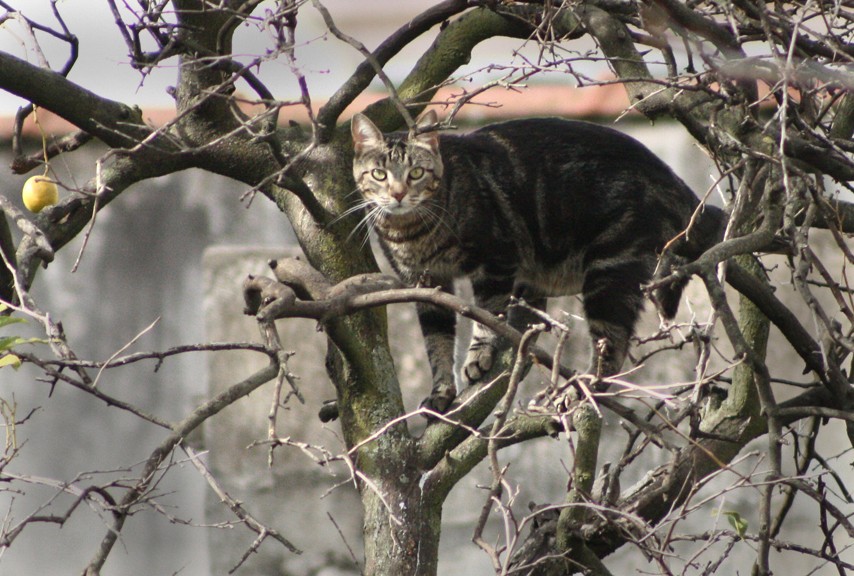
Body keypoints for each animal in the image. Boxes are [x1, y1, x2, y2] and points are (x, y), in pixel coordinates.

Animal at [352, 109, 724, 414]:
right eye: (379, 175)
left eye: (415, 172)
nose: (398, 194)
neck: (411, 232)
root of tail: (670, 177)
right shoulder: (426, 286)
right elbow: (437, 343)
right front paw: (441, 391)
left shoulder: (496, 261)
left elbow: (487, 316)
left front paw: (478, 356)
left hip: (608, 272)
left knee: (612, 350)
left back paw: (581, 390)